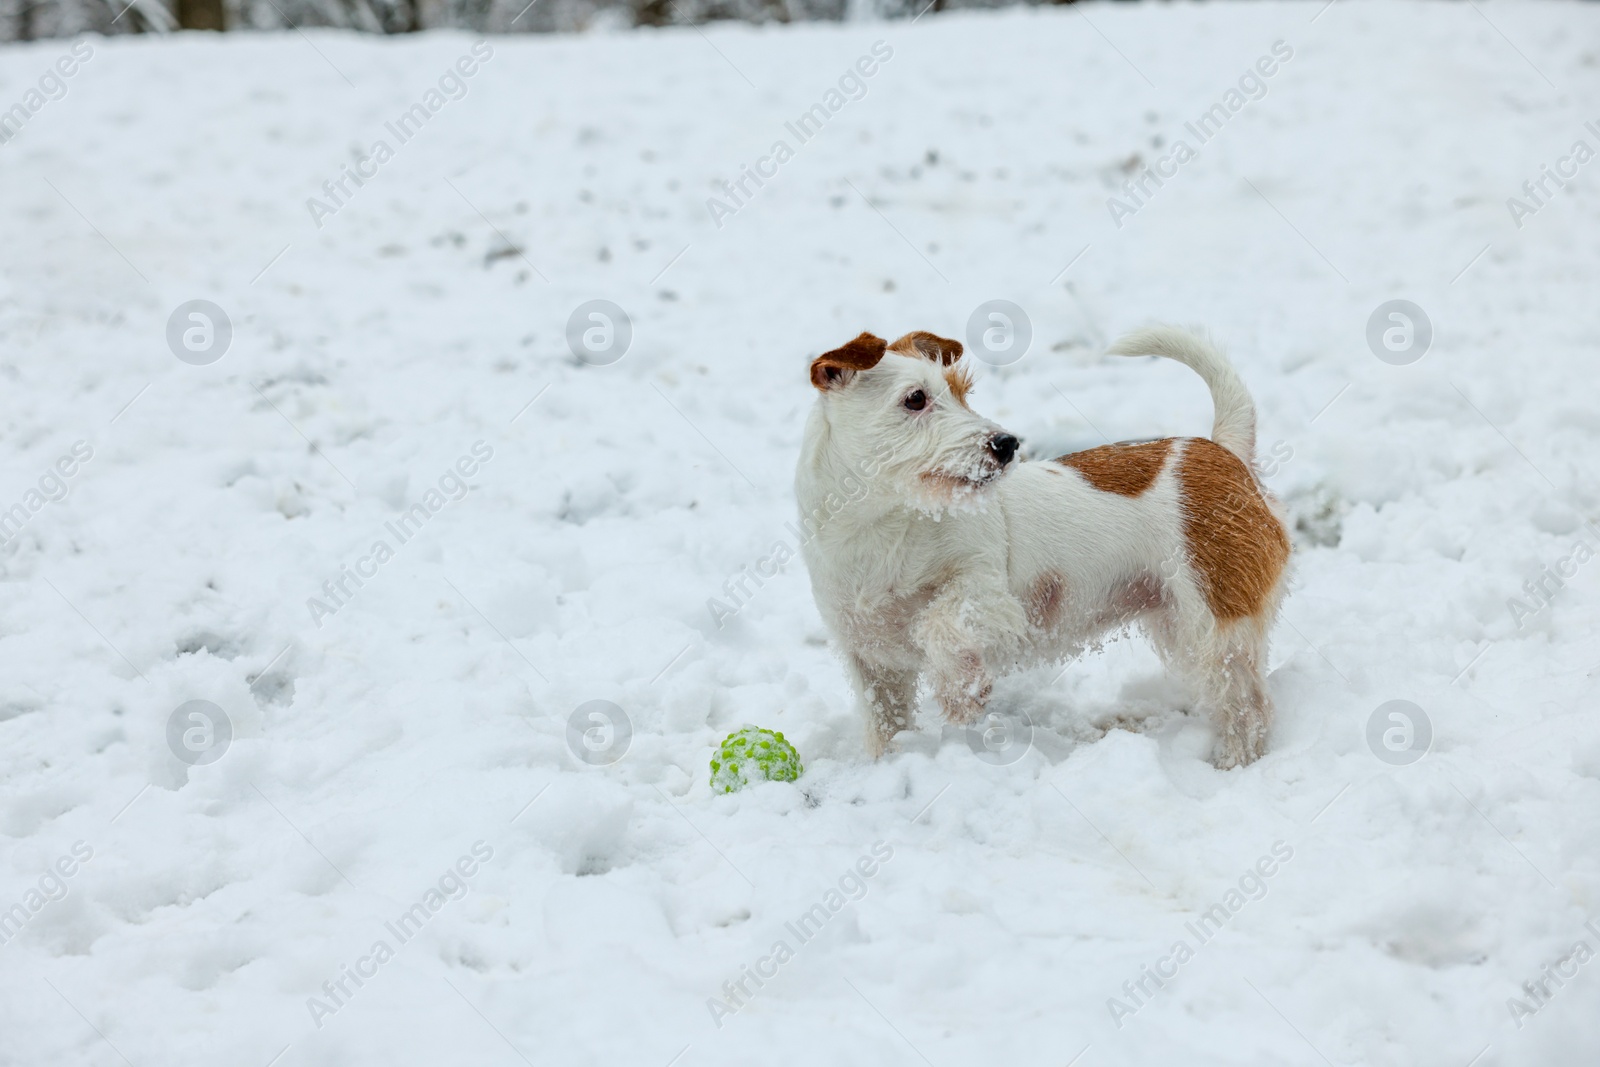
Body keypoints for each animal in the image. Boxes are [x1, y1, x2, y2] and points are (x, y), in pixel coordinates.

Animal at [793, 326, 1292, 767]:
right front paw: (889, 763)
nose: (1006, 443)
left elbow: (938, 623)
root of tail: (1224, 452)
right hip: (1179, 621)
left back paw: (1235, 763)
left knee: (1248, 705)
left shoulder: (988, 595)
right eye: (915, 398)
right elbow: (886, 722)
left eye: (962, 392)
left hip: (1215, 625)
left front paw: (961, 693)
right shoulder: (871, 660)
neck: (882, 525)